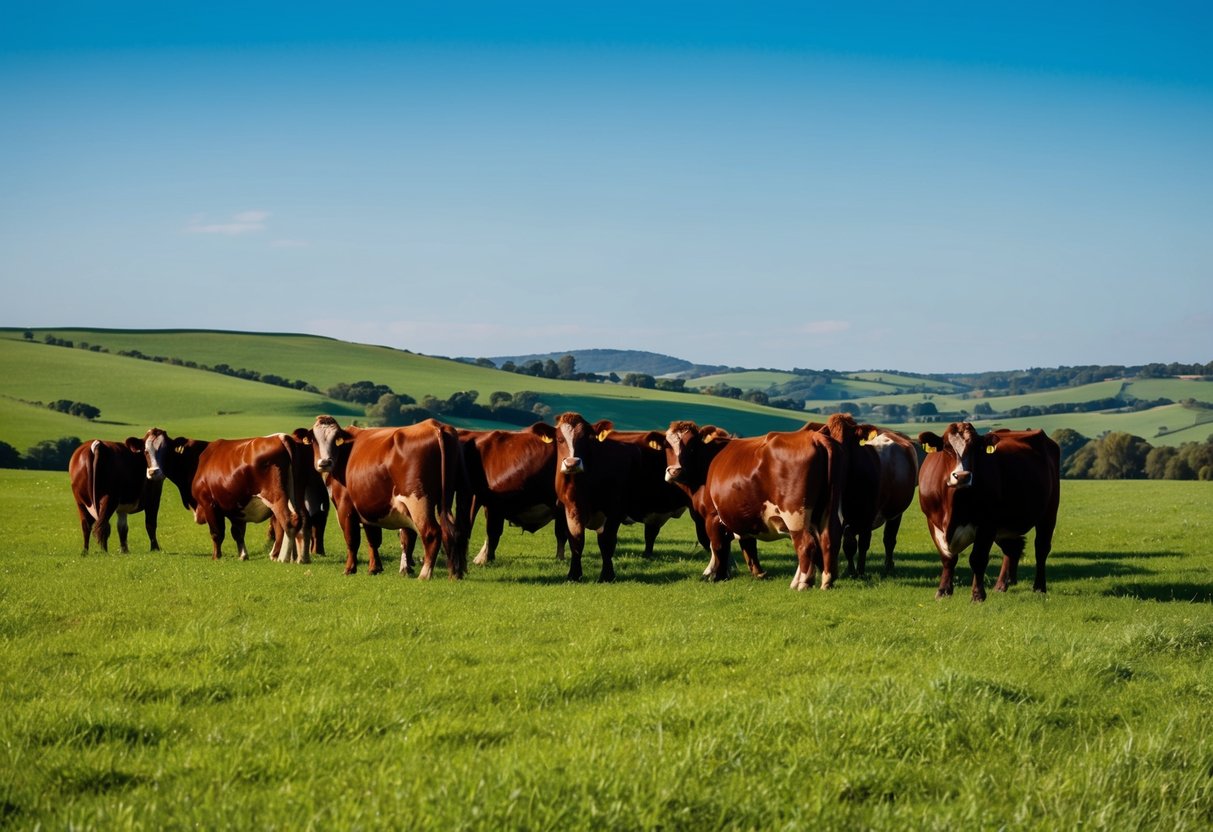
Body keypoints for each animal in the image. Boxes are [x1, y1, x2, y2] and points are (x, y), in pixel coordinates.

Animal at [303, 417, 468, 579]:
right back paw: (455, 573)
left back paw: (425, 574)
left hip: (418, 501)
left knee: (432, 532)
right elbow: (373, 539)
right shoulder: (367, 507)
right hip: (446, 501)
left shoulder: (346, 508)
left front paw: (349, 569)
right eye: (314, 439)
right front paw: (374, 568)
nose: (324, 462)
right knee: (453, 531)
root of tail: (435, 426)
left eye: (336, 438)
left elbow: (352, 540)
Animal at [664, 419, 844, 589]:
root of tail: (814, 436)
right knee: (829, 540)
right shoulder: (740, 516)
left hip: (795, 514)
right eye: (667, 446)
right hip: (826, 512)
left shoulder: (712, 516)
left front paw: (717, 576)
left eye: (692, 445)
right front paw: (757, 573)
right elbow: (747, 546)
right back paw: (826, 581)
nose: (674, 471)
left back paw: (803, 583)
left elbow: (718, 547)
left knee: (806, 544)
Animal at [805, 417, 917, 579]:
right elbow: (847, 544)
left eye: (850, 439)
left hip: (896, 512)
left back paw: (888, 566)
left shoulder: (867, 516)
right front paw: (849, 571)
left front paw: (860, 570)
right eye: (829, 437)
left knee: (889, 538)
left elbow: (862, 544)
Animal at [917, 426, 1062, 603]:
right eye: (946, 447)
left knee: (1041, 548)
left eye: (976, 448)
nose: (963, 476)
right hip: (1006, 525)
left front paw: (977, 595)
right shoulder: (933, 523)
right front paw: (943, 591)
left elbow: (977, 559)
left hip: (1048, 513)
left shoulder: (987, 525)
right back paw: (1000, 585)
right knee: (1013, 548)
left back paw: (1039, 587)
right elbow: (948, 558)